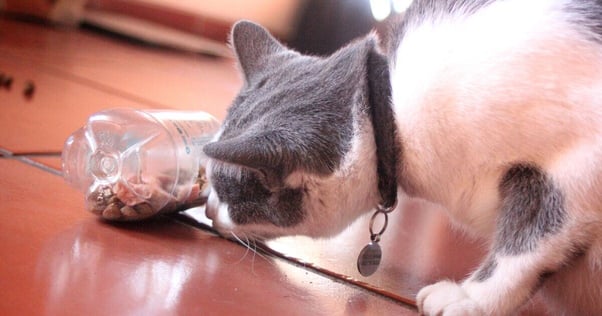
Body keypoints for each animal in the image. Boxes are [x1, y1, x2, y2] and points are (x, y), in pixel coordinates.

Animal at [202, 1, 600, 314]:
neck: (393, 112)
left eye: (229, 191)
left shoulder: (576, 168)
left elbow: (526, 245)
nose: (206, 208)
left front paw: (470, 298)